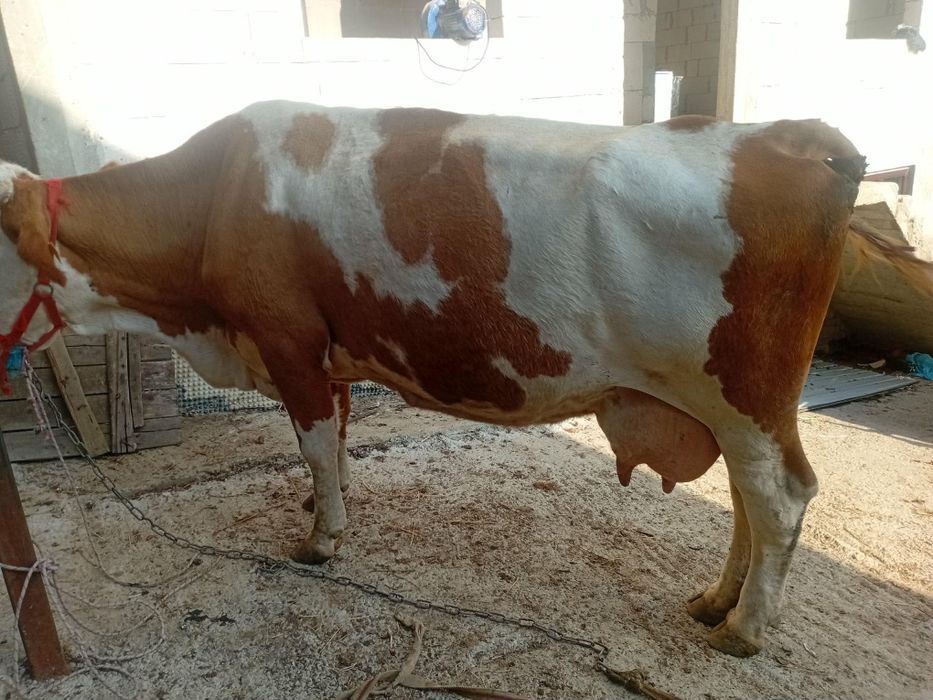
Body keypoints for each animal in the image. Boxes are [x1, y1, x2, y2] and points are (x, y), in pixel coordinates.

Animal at [0, 101, 920, 657]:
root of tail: (795, 136)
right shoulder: (329, 351)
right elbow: (335, 439)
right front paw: (331, 509)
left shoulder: (288, 339)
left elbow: (312, 445)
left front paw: (321, 539)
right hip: (728, 404)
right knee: (745, 499)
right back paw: (713, 601)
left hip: (746, 393)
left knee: (780, 498)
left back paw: (745, 629)